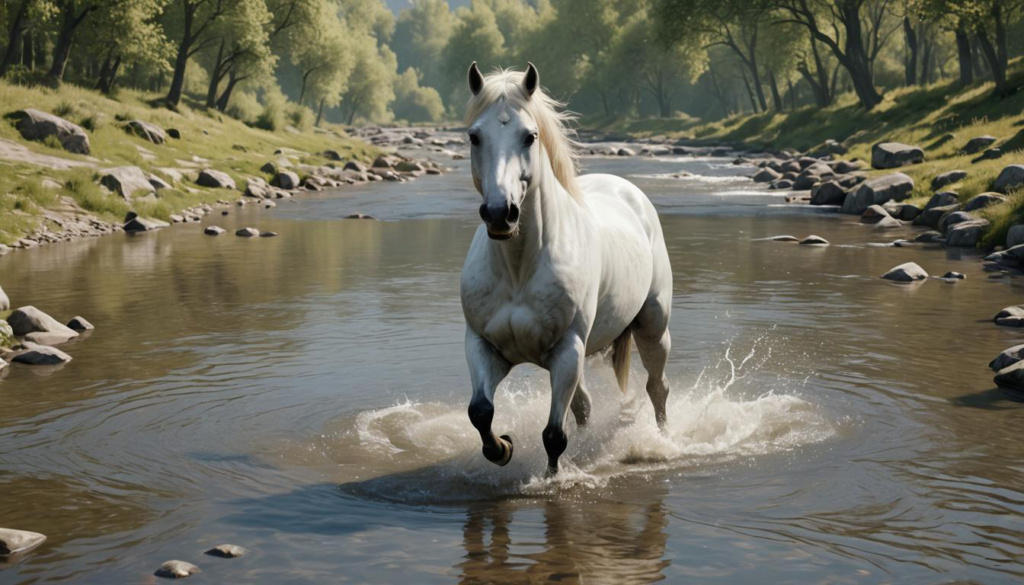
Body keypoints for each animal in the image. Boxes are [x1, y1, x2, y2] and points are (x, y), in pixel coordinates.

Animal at [462, 63, 671, 475]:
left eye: (529, 136)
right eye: (475, 137)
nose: (500, 213)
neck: (519, 270)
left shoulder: (567, 350)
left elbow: (554, 436)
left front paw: (551, 479)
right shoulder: (483, 346)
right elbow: (480, 411)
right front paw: (504, 446)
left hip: (653, 327)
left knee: (657, 387)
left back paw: (664, 440)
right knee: (584, 406)